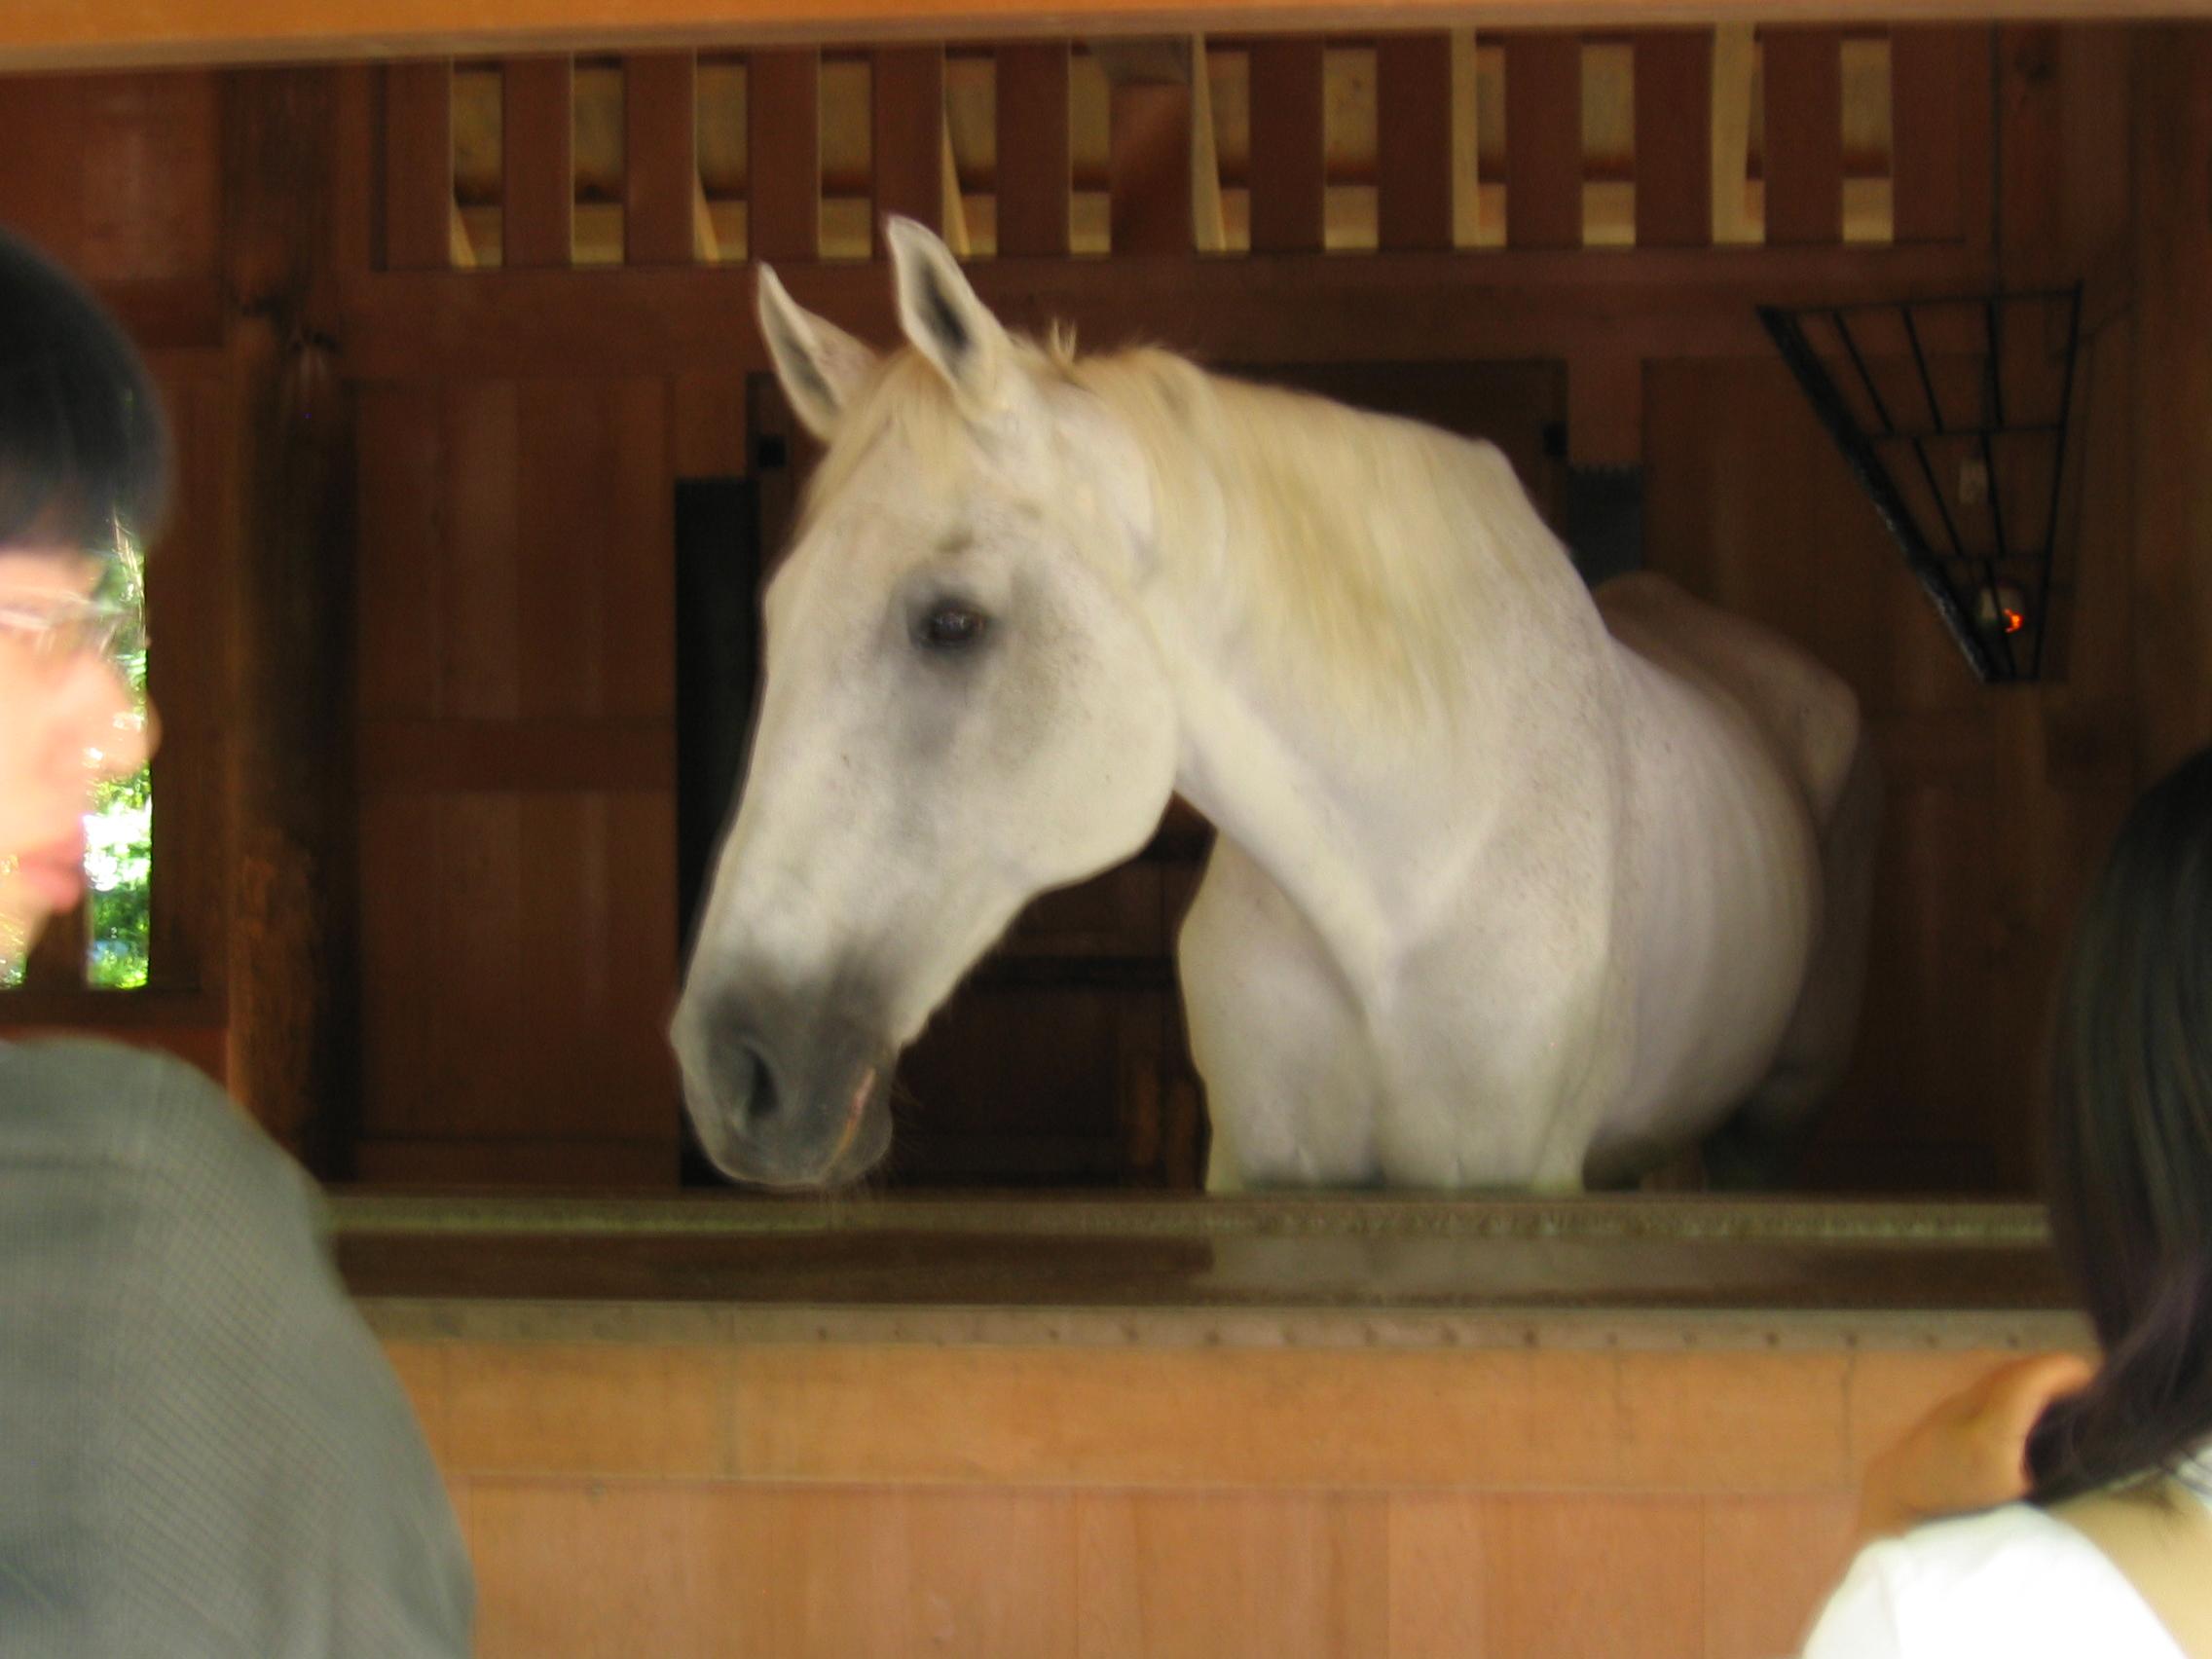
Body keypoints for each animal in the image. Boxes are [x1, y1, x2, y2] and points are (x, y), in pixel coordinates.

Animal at [670, 217, 1881, 1194]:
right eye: (778, 613)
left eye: (951, 623)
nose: (732, 1070)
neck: (1394, 891)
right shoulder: (1264, 1168)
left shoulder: (1512, 1175)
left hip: (1773, 1115)